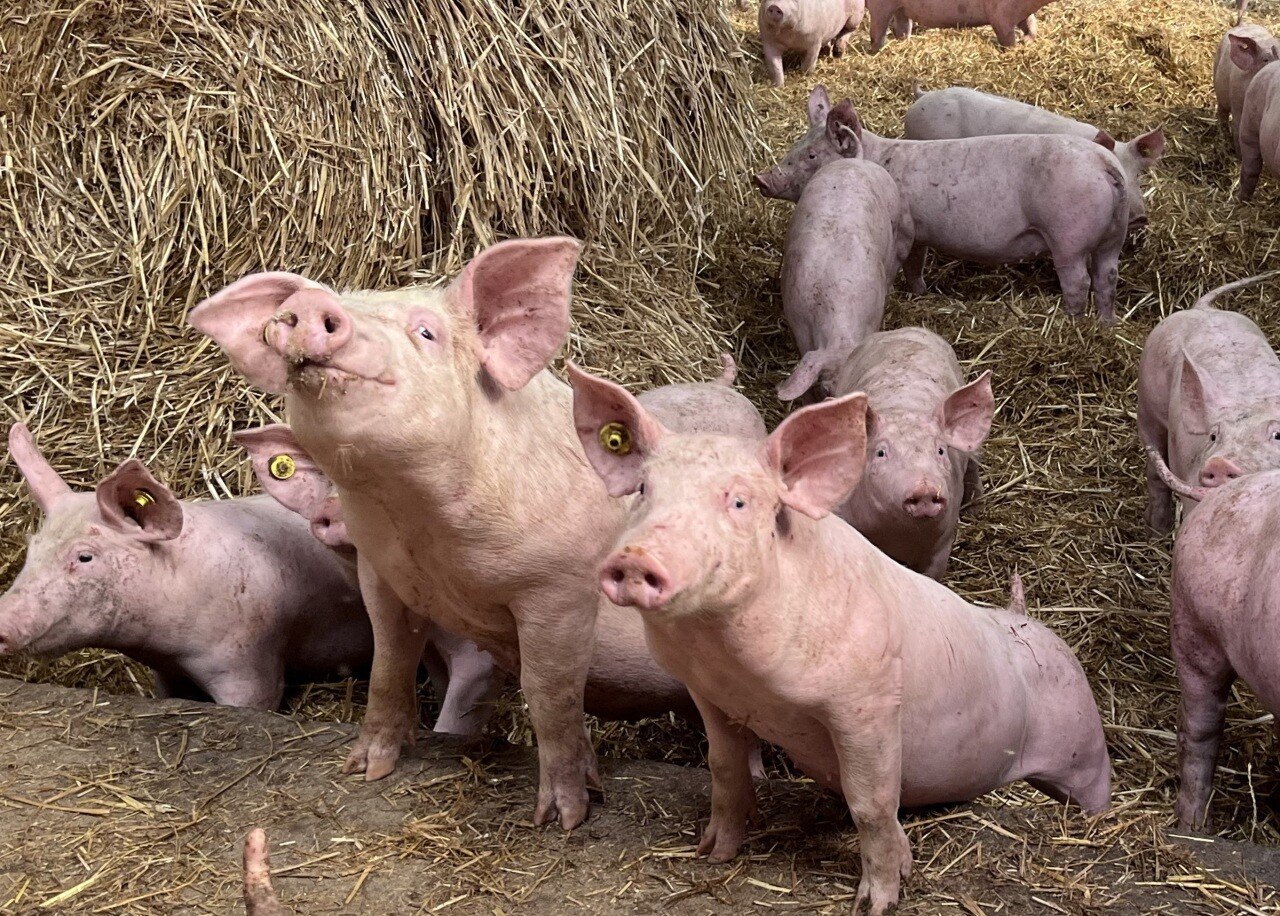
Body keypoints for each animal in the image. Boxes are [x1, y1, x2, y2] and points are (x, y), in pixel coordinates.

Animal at [568, 365, 1110, 916]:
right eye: (643, 489)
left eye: (739, 500)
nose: (635, 558)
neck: (735, 666)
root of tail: (1028, 620)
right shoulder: (710, 696)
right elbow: (724, 769)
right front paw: (712, 853)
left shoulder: (869, 702)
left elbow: (871, 803)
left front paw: (877, 902)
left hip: (1084, 744)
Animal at [756, 88, 1129, 322]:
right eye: (795, 146)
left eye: (811, 155)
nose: (761, 178)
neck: (878, 159)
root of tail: (1104, 164)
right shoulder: (921, 233)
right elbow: (915, 265)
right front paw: (921, 293)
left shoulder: (905, 227)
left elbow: (901, 260)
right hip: (1114, 237)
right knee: (1108, 277)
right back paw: (1107, 324)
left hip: (1069, 237)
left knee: (1079, 281)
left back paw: (1071, 321)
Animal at [830, 328, 994, 579]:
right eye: (881, 453)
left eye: (940, 450)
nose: (925, 488)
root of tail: (903, 330)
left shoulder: (942, 544)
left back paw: (977, 510)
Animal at [865, 0, 1049, 51]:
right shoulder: (1000, 15)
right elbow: (1006, 36)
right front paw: (1013, 49)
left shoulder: (1022, 13)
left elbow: (1031, 24)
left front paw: (1026, 41)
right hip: (880, 7)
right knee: (877, 30)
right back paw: (873, 51)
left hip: (901, 8)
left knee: (902, 26)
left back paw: (904, 42)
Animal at [1137, 270, 1280, 533]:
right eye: (1213, 436)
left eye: (1277, 435)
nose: (1219, 464)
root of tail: (1201, 309)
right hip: (1148, 404)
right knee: (1154, 473)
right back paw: (1157, 529)